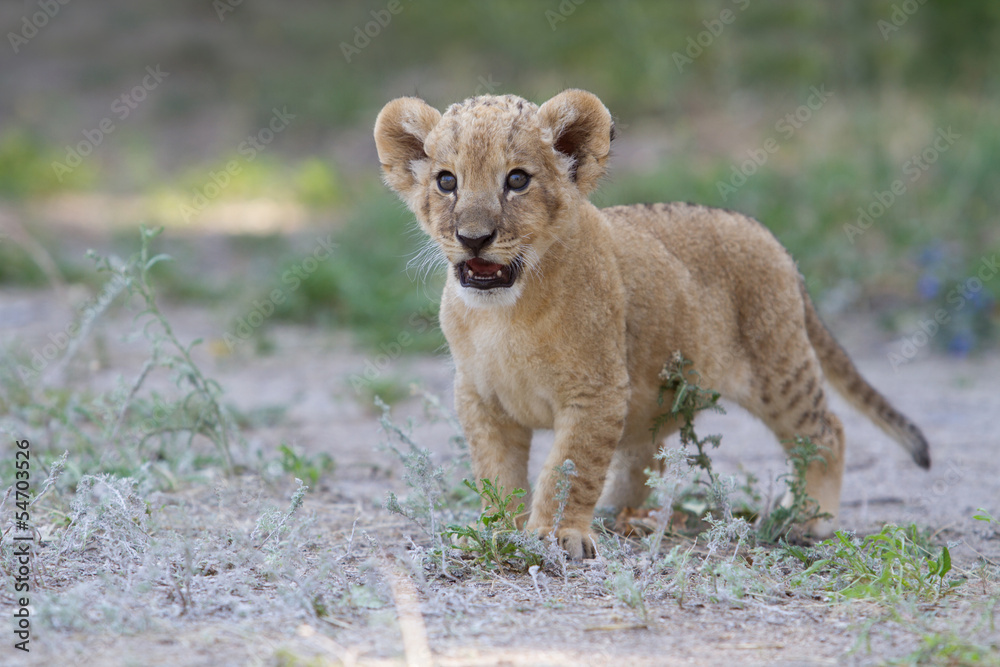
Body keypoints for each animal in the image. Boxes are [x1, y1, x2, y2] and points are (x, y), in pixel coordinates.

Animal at [374, 89, 930, 559]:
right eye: (447, 181)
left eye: (517, 180)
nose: (473, 238)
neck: (506, 311)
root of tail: (773, 241)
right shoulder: (482, 398)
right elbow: (496, 471)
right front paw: (496, 530)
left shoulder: (596, 391)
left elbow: (570, 468)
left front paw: (558, 536)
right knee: (645, 454)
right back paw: (621, 515)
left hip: (778, 369)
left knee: (827, 429)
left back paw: (811, 520)